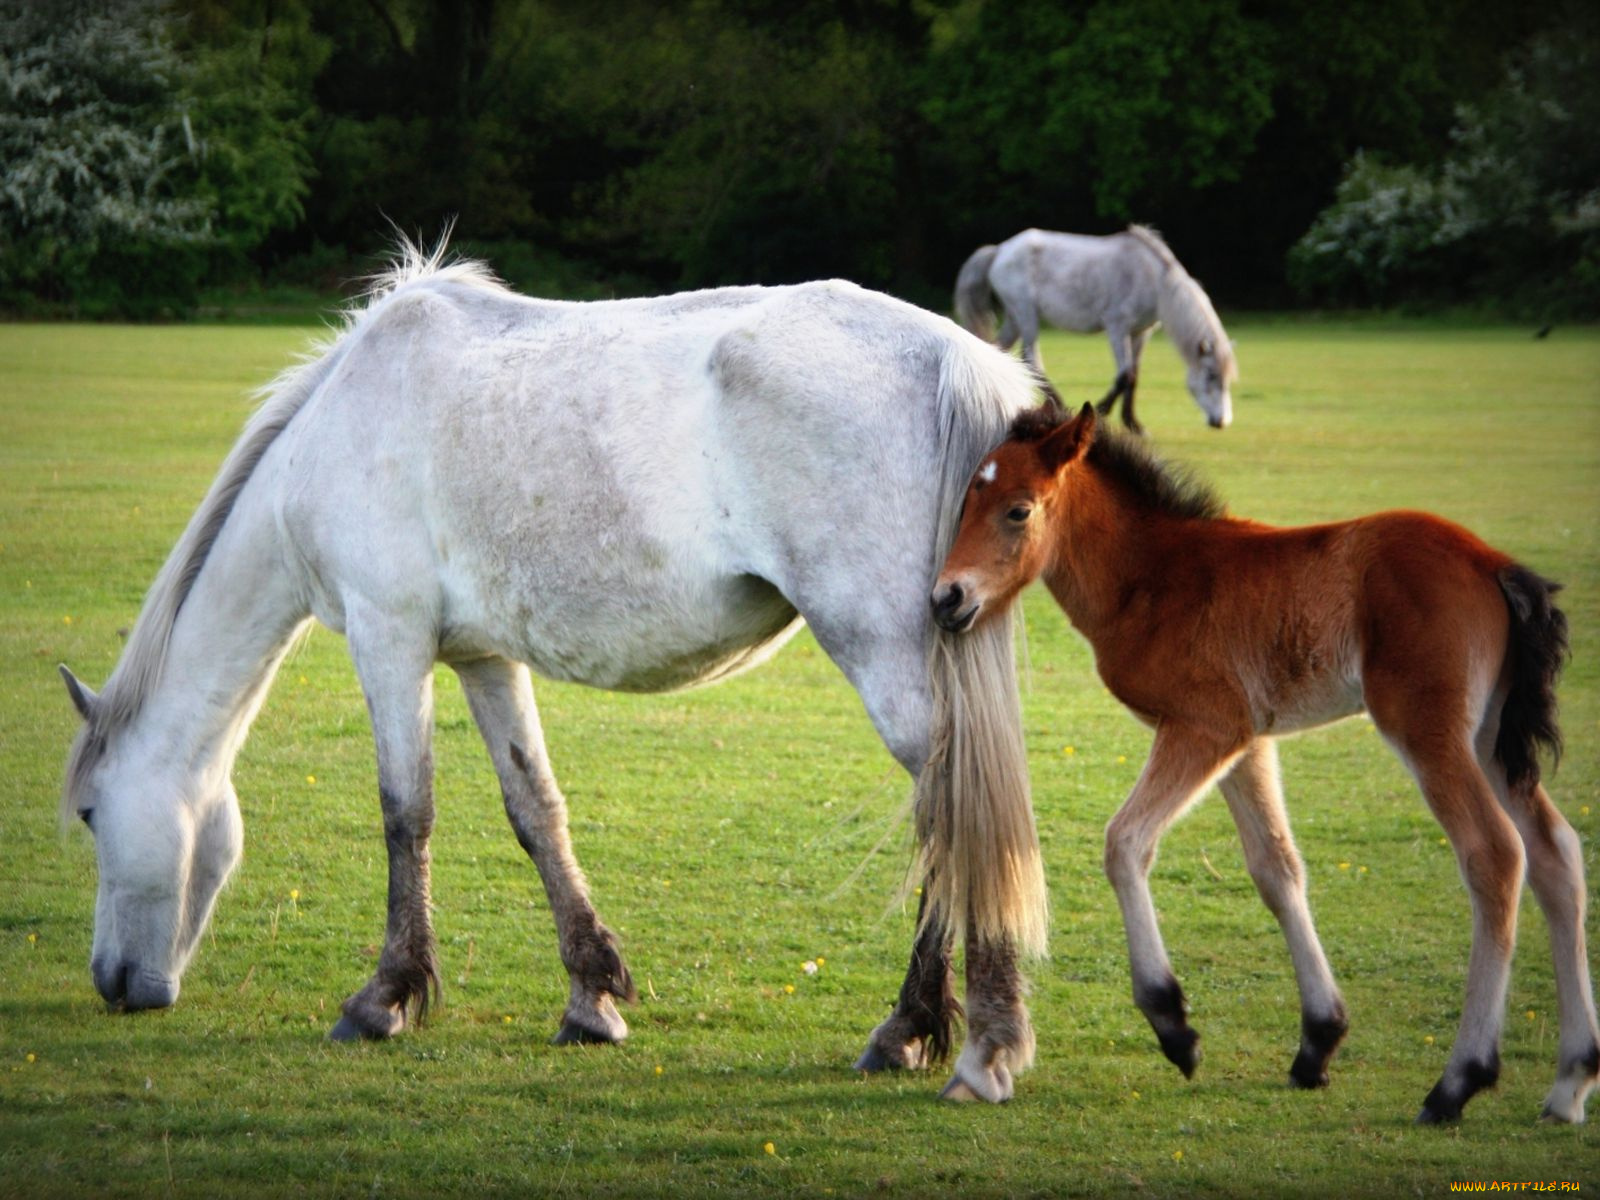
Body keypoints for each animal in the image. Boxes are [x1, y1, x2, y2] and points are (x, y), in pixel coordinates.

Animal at [56, 244, 1049, 1107]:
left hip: (886, 657)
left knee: (952, 812)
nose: (112, 982)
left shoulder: (388, 638)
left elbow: (405, 813)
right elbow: (535, 812)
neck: (339, 426)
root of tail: (954, 358)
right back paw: (927, 1031)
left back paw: (958, 1040)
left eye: (91, 814)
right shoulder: (483, 657)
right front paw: (590, 998)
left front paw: (383, 999)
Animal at [953, 227, 1241, 435]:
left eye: (1228, 378)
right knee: (1031, 357)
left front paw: (1133, 423)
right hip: (1026, 314)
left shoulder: (1140, 333)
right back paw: (1059, 406)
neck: (1153, 280)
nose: (1221, 422)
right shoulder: (1117, 327)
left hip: (1015, 317)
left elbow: (1134, 376)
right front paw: (1102, 411)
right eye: (1211, 375)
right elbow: (1124, 374)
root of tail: (1000, 250)